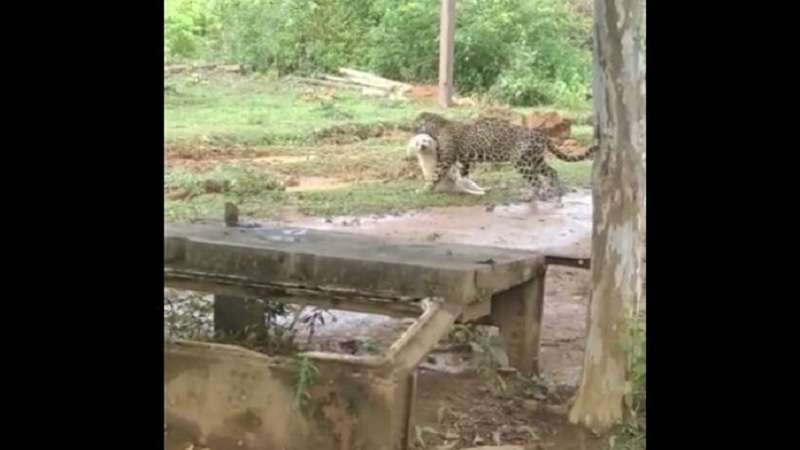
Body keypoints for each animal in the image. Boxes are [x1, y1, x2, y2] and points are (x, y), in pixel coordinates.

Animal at [412, 112, 592, 204]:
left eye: (416, 123)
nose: (411, 127)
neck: (437, 127)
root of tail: (541, 134)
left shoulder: (446, 159)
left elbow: (436, 175)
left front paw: (424, 189)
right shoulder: (465, 158)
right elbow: (464, 173)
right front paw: (469, 185)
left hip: (521, 161)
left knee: (535, 180)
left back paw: (530, 196)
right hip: (536, 159)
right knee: (552, 172)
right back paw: (555, 192)